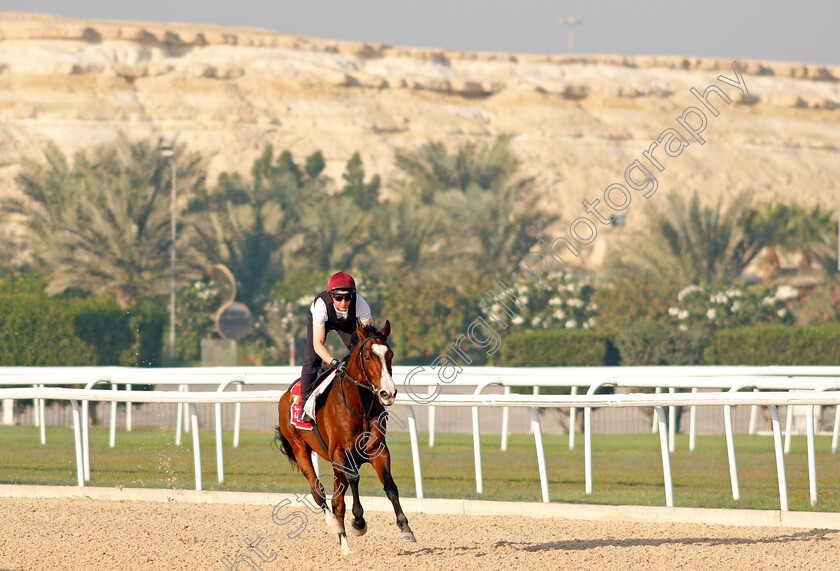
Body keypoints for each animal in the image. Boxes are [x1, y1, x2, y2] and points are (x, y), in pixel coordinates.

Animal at [274, 324, 416, 556]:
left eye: (390, 355)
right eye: (367, 356)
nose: (388, 393)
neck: (360, 406)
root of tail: (287, 393)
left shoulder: (378, 450)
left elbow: (390, 486)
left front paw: (405, 528)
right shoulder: (341, 452)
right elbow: (354, 479)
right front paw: (358, 522)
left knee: (336, 502)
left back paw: (345, 545)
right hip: (299, 448)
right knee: (319, 493)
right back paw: (335, 526)